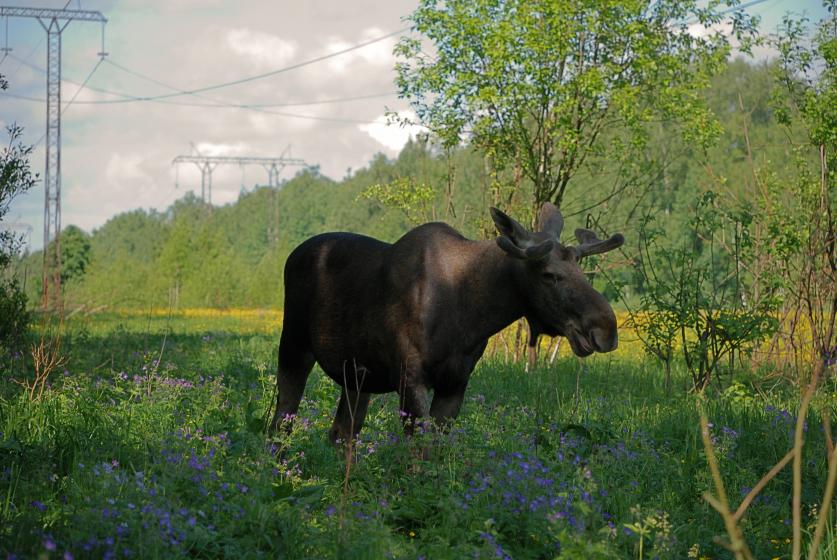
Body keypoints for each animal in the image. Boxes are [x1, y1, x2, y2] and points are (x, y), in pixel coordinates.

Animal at [268, 203, 620, 444]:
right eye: (549, 275)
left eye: (580, 269)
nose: (606, 329)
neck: (472, 315)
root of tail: (291, 255)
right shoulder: (411, 379)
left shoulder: (456, 383)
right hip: (294, 346)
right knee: (280, 422)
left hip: (357, 377)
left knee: (341, 433)